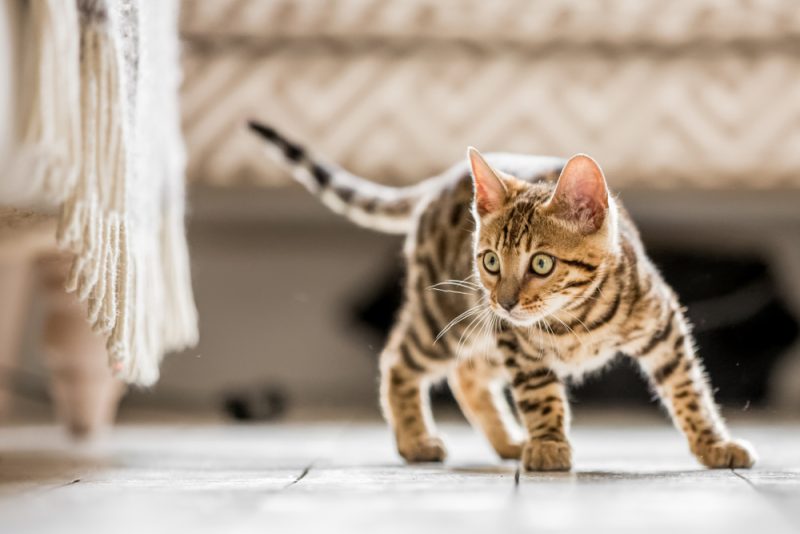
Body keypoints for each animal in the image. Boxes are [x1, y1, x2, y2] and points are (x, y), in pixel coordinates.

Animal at [248, 122, 756, 474]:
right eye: (491, 261)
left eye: (542, 264)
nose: (507, 301)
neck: (578, 318)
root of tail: (440, 184)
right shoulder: (520, 344)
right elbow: (540, 394)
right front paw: (548, 442)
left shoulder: (663, 325)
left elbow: (689, 388)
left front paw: (712, 443)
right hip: (450, 316)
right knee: (398, 359)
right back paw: (416, 440)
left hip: (483, 328)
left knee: (468, 375)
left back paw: (508, 441)